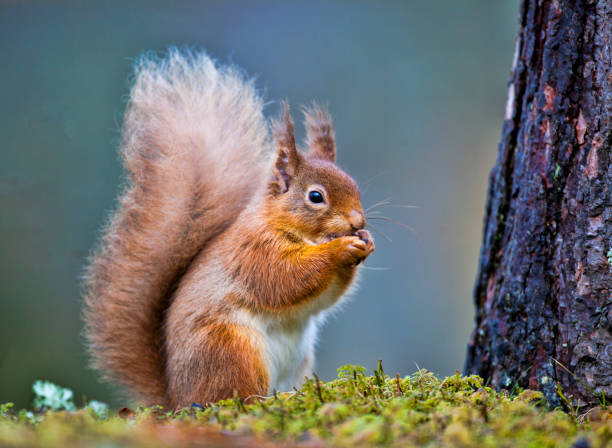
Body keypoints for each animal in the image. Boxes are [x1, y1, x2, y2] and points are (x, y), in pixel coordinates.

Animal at [84, 50, 376, 410]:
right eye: (316, 197)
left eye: (354, 184)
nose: (358, 222)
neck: (298, 232)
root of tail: (178, 396)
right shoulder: (254, 251)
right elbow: (287, 278)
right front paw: (340, 250)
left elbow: (324, 298)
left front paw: (366, 242)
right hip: (231, 348)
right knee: (234, 396)